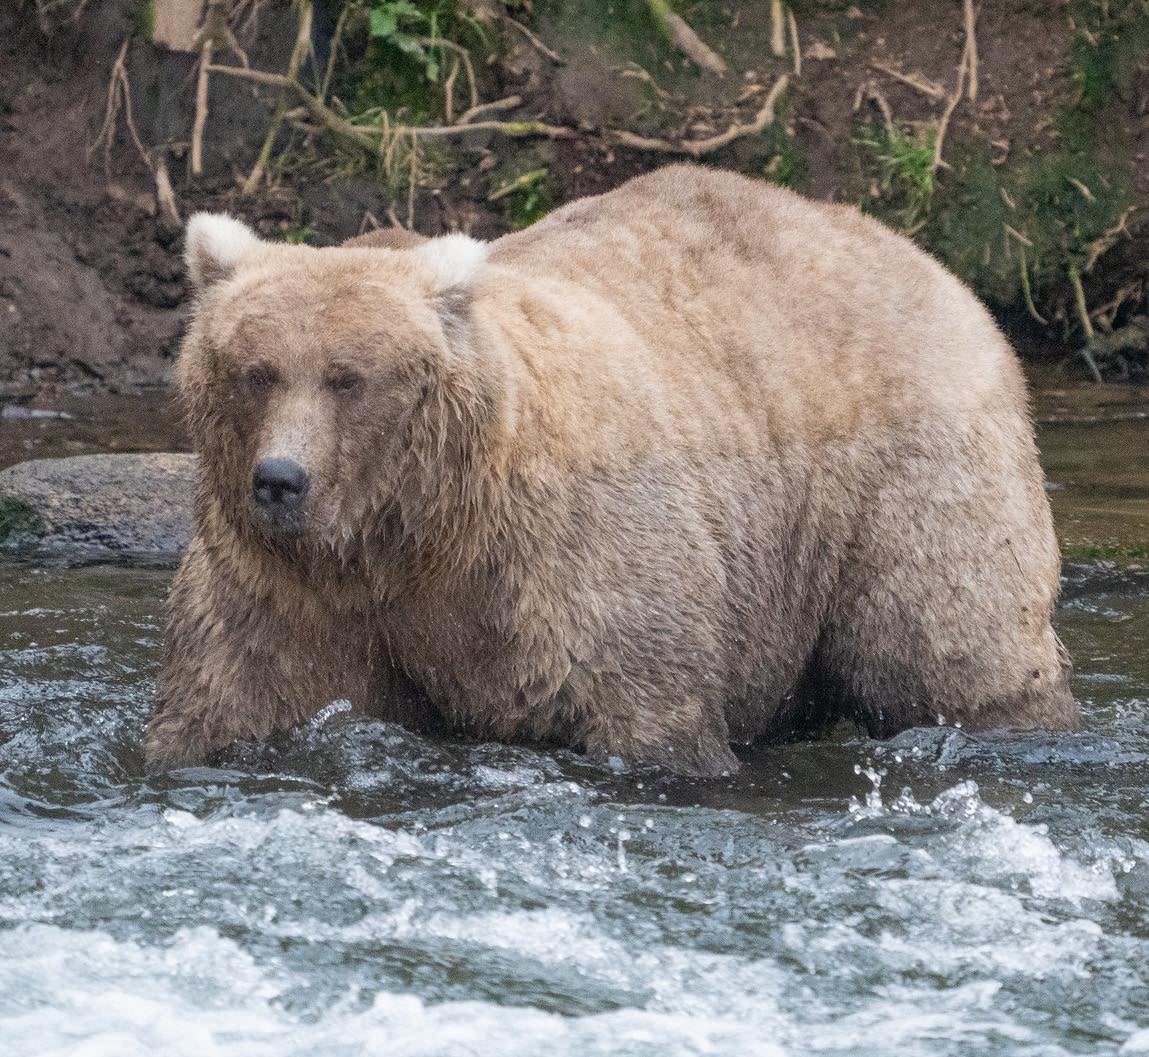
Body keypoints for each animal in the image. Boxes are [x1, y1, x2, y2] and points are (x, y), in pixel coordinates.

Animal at [145, 164, 1077, 775]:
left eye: (348, 376)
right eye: (255, 369)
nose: (280, 479)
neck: (415, 530)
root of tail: (923, 258)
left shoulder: (568, 557)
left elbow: (643, 702)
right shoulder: (288, 587)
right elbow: (235, 696)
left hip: (905, 473)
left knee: (945, 643)